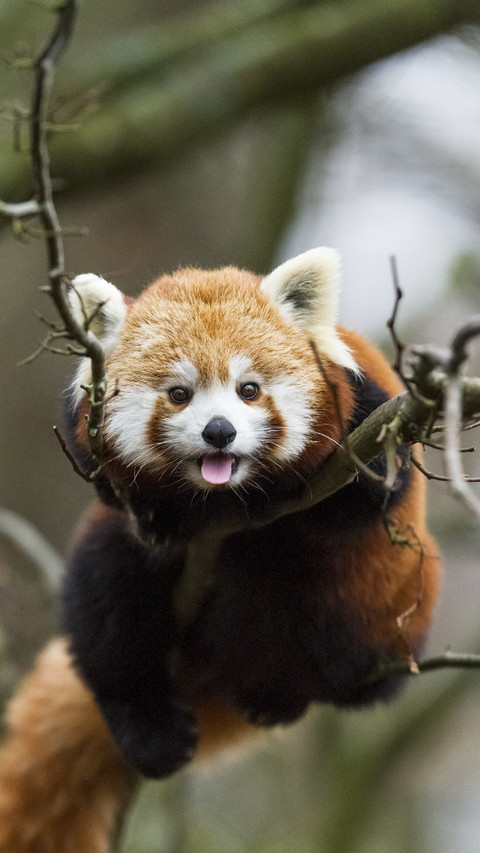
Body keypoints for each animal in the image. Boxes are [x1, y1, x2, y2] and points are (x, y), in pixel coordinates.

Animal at [0, 248, 440, 852]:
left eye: (248, 389)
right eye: (179, 393)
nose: (219, 432)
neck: (222, 495)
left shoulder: (372, 415)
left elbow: (370, 495)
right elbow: (107, 488)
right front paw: (158, 515)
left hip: (389, 606)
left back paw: (280, 694)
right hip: (116, 564)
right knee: (107, 605)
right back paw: (147, 726)